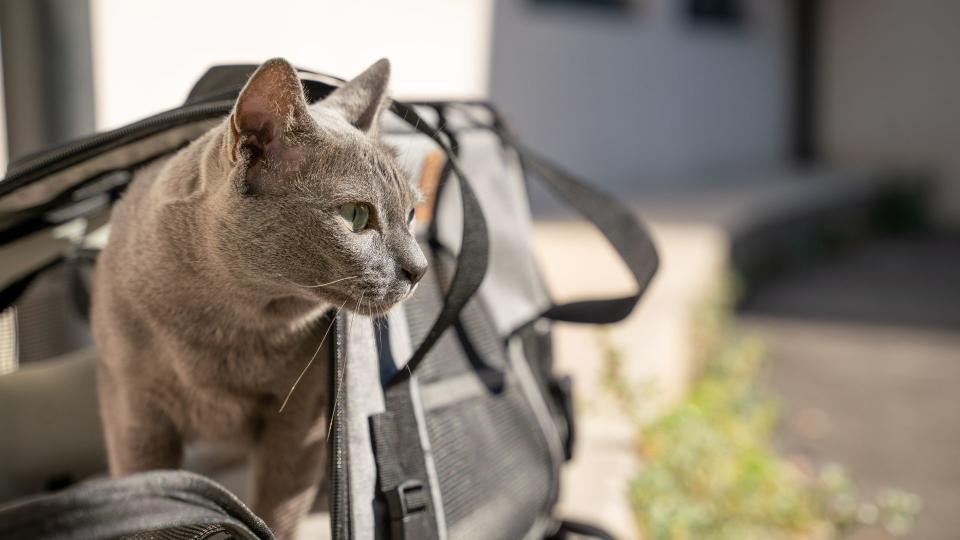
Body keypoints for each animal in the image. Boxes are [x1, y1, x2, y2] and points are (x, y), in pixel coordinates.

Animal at [91, 57, 428, 536]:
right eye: (355, 215)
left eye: (412, 213)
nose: (420, 268)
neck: (227, 326)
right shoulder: (134, 415)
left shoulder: (299, 426)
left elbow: (275, 515)